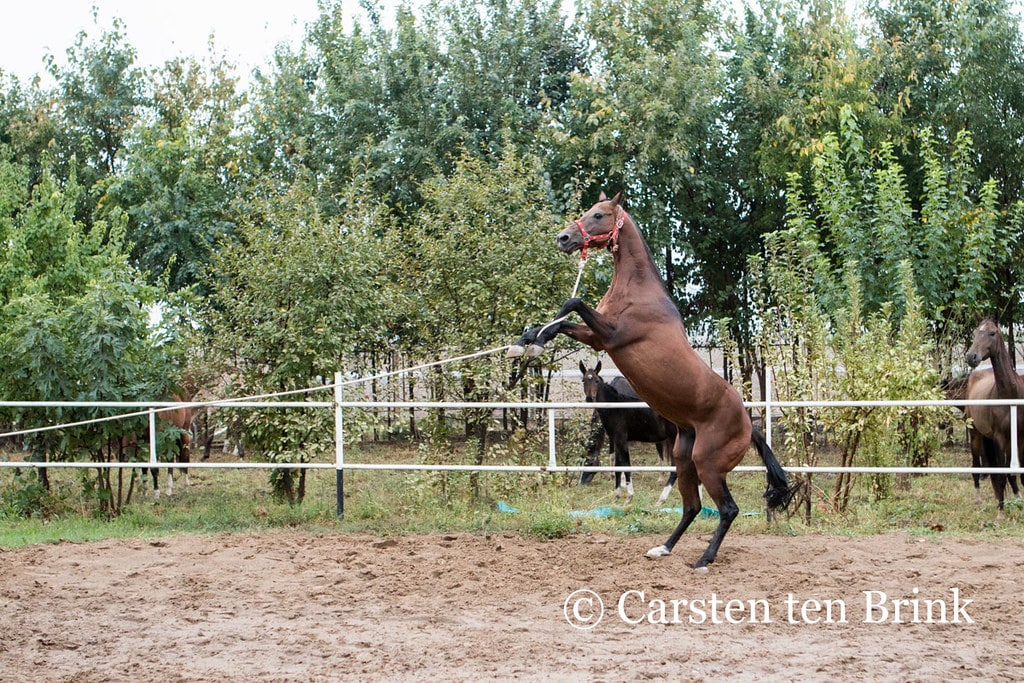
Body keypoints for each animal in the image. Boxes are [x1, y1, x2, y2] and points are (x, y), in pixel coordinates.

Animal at [579, 360, 686, 505]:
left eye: (596, 380)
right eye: (583, 380)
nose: (590, 398)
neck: (615, 407)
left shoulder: (621, 440)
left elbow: (626, 465)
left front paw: (629, 496)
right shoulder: (616, 440)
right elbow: (618, 466)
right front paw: (616, 496)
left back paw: (661, 499)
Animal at [965, 318, 1024, 519]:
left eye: (992, 333)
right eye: (975, 332)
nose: (971, 356)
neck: (1010, 395)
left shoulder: (1019, 438)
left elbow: (1014, 473)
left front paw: (1018, 501)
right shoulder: (999, 439)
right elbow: (1000, 474)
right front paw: (1001, 512)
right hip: (975, 436)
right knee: (976, 467)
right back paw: (979, 501)